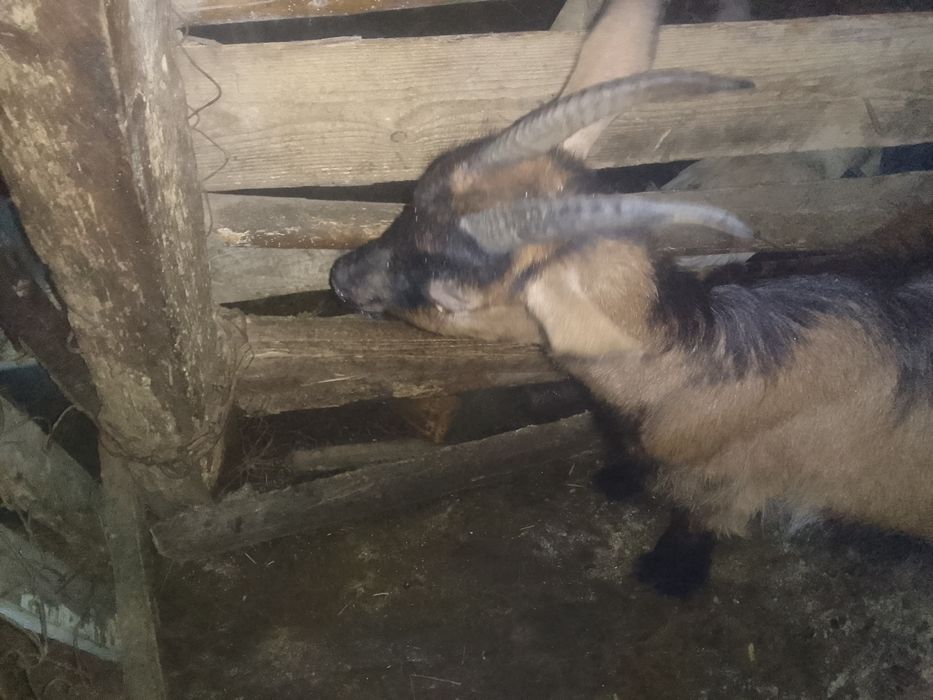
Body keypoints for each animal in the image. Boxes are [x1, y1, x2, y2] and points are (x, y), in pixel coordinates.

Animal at [330, 5, 933, 597]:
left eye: (451, 297)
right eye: (412, 201)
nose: (340, 277)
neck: (705, 357)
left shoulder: (724, 485)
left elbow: (691, 529)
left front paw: (665, 575)